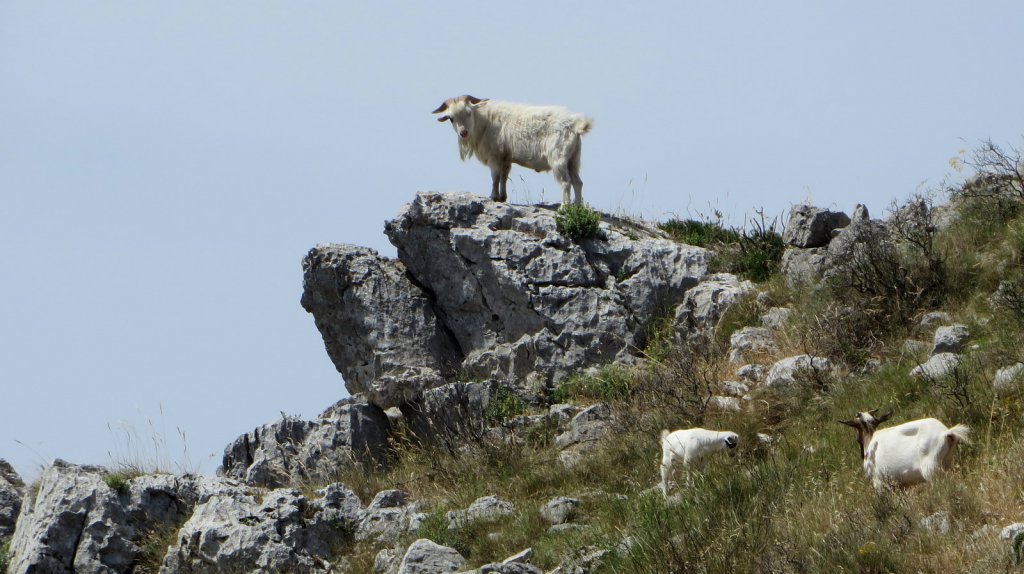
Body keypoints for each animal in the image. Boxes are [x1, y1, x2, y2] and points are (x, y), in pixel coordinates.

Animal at [432, 95, 593, 206]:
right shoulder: (506, 158)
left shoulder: (495, 156)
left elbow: (495, 177)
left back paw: (564, 207)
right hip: (573, 159)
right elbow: (504, 177)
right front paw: (502, 197)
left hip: (558, 158)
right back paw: (577, 206)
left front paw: (493, 197)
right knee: (578, 182)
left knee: (566, 182)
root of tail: (574, 126)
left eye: (469, 112)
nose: (463, 133)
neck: (485, 122)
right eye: (451, 118)